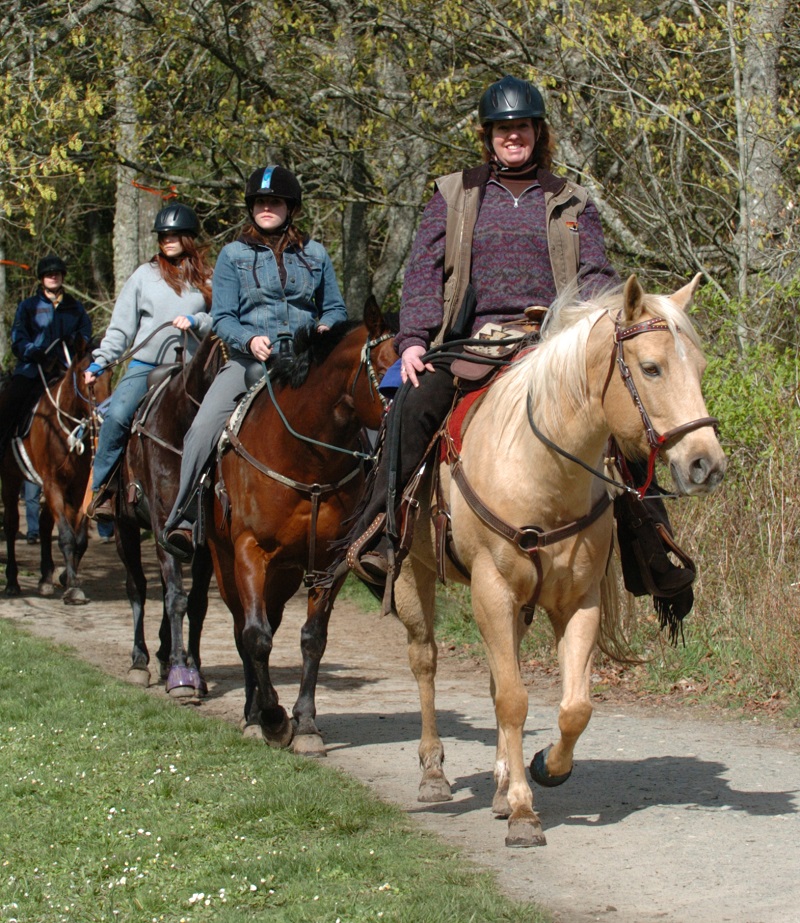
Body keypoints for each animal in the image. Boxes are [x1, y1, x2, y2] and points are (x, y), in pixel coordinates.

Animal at [1, 340, 111, 604]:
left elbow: (79, 538)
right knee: (11, 524)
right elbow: (66, 535)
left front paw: (67, 579)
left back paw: (45, 578)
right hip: (10, 478)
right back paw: (12, 582)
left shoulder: (78, 486)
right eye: (89, 380)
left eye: (111, 374)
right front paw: (72, 587)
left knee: (42, 523)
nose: (105, 416)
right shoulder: (53, 483)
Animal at [114, 331, 227, 696]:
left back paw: (164, 654)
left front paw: (195, 669)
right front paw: (181, 673)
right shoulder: (164, 524)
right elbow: (176, 598)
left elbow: (196, 603)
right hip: (124, 528)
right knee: (137, 586)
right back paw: (141, 660)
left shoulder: (203, 543)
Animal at [205, 301, 397, 755]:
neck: (306, 458)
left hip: (284, 575)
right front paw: (274, 720)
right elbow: (255, 637)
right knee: (243, 632)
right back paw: (253, 715)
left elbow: (313, 638)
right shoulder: (249, 552)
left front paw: (305, 723)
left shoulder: (328, 563)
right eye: (385, 368)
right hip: (226, 564)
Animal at [391, 274, 727, 848]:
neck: (541, 470)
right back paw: (434, 773)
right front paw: (524, 814)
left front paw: (544, 769)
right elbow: (513, 700)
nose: (706, 464)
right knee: (425, 661)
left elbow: (573, 707)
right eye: (651, 368)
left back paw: (501, 784)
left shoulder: (576, 600)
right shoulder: (491, 590)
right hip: (415, 574)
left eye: (700, 368)